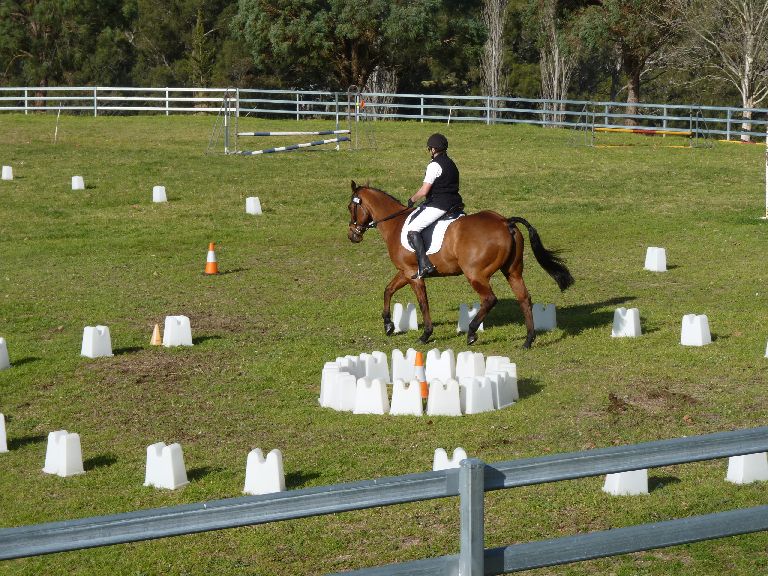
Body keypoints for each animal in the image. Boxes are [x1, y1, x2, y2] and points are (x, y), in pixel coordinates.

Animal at [346, 181, 574, 347]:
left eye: (350, 207)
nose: (352, 235)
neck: (395, 223)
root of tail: (505, 221)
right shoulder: (406, 272)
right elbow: (388, 290)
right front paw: (388, 325)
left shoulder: (412, 274)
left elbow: (422, 302)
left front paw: (425, 334)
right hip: (512, 271)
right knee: (524, 298)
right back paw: (528, 340)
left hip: (475, 274)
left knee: (489, 299)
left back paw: (472, 332)